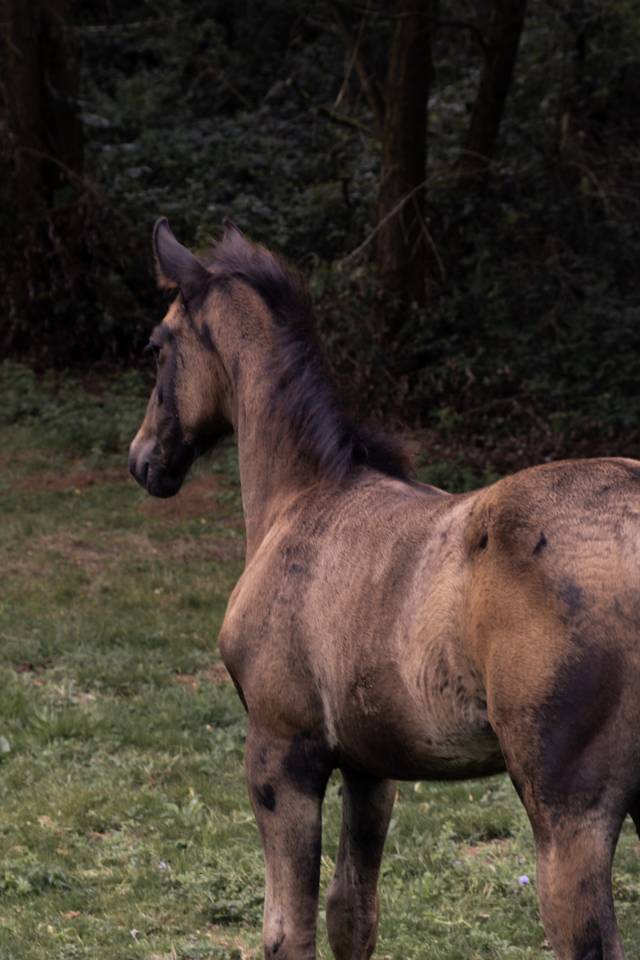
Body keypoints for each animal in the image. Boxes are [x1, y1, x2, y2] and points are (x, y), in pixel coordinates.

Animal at [129, 217, 640, 960]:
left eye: (158, 345)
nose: (143, 460)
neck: (302, 499)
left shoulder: (281, 754)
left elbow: (287, 933)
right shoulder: (371, 766)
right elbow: (354, 915)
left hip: (569, 813)